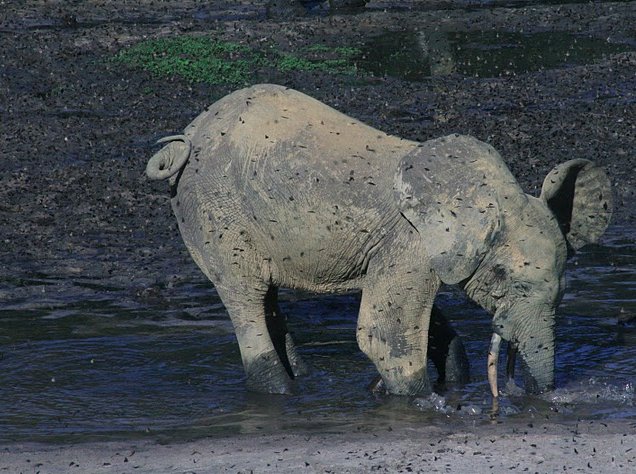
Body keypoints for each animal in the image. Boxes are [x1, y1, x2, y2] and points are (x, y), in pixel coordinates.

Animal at [147, 84, 612, 396]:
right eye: (506, 280)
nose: (528, 394)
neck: (490, 194)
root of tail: (186, 137)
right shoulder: (409, 241)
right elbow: (383, 334)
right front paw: (420, 403)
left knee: (268, 299)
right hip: (212, 212)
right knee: (245, 295)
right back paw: (281, 391)